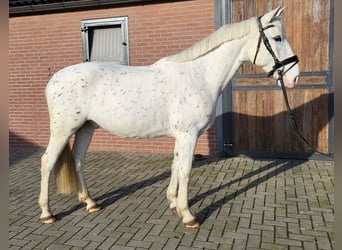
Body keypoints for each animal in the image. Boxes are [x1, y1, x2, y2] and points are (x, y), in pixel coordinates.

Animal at [38, 6, 300, 228]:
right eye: (277, 38)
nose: (294, 77)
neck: (199, 75)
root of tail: (54, 80)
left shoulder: (181, 136)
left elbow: (175, 166)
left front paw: (173, 202)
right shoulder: (188, 135)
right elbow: (185, 170)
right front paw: (188, 215)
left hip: (86, 128)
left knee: (78, 160)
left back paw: (91, 203)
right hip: (63, 130)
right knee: (47, 161)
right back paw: (47, 213)